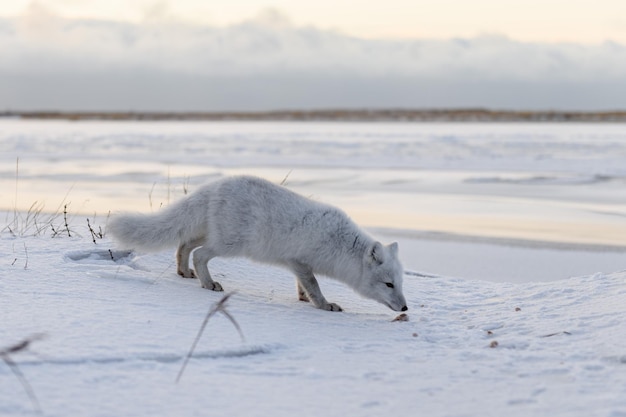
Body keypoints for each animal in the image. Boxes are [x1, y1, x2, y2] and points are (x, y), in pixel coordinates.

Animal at [106, 174, 408, 310]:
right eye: (388, 284)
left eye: (400, 284)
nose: (405, 308)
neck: (340, 244)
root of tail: (214, 185)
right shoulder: (299, 261)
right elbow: (314, 285)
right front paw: (323, 305)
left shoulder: (297, 265)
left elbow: (303, 285)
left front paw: (302, 299)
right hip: (228, 244)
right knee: (199, 254)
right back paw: (208, 283)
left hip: (210, 233)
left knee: (183, 245)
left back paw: (184, 272)